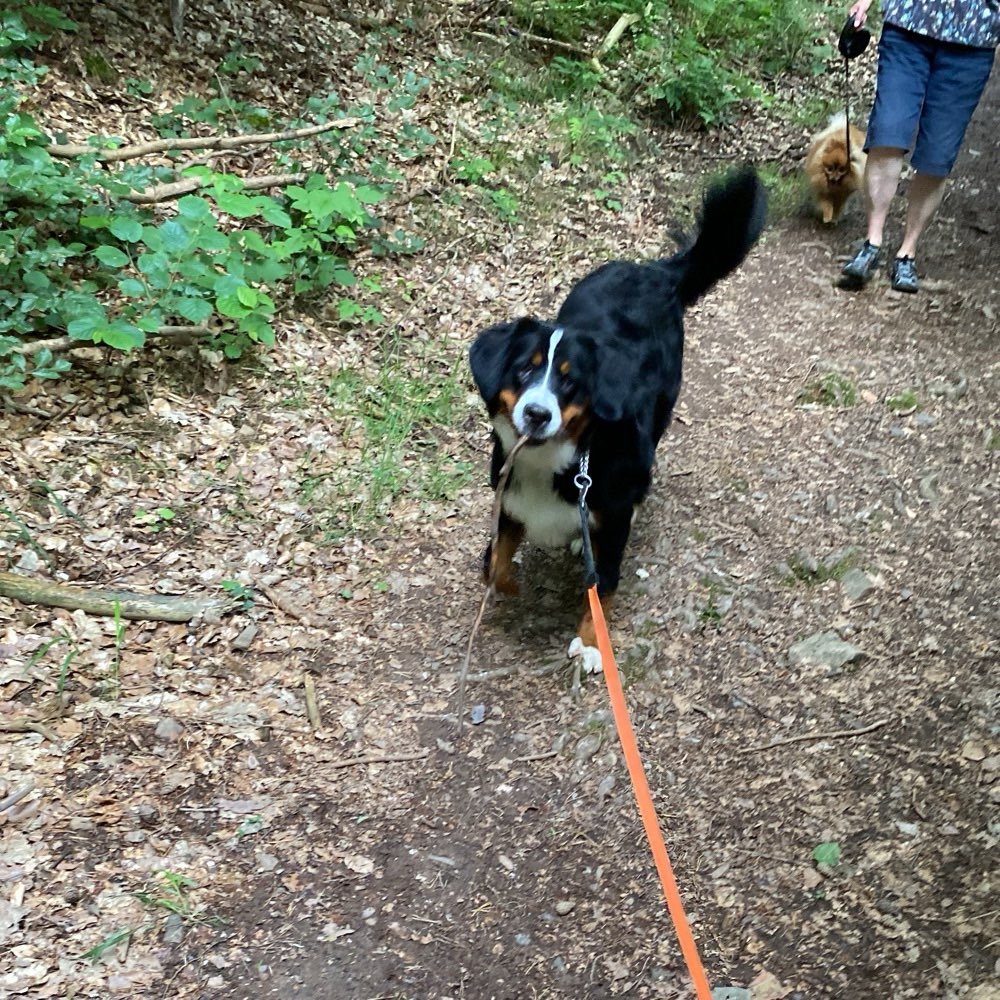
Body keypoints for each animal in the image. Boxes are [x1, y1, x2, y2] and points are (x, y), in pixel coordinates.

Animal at [468, 168, 764, 676]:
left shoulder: (611, 525)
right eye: (524, 369)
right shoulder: (509, 502)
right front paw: (510, 586)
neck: (554, 464)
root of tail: (655, 271)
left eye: (570, 381)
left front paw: (591, 645)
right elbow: (496, 563)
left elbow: (601, 587)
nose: (536, 413)